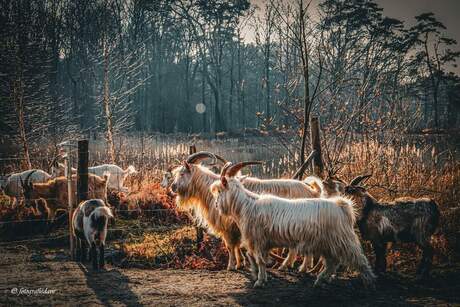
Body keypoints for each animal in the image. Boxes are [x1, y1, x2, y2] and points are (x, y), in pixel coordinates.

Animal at [210, 162, 376, 290]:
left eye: (220, 190)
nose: (216, 205)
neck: (246, 206)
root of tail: (342, 206)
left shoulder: (257, 240)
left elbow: (260, 260)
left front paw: (259, 281)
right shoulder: (261, 242)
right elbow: (256, 258)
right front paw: (259, 276)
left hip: (342, 240)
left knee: (358, 259)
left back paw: (369, 281)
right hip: (328, 243)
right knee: (332, 262)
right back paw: (320, 280)